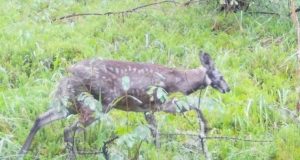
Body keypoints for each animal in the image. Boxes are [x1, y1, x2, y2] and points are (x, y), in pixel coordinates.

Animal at [19, 50, 230, 158]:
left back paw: (21, 152)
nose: (227, 89)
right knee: (68, 130)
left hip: (71, 101)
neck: (179, 81)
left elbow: (155, 131)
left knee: (41, 118)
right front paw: (206, 129)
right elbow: (194, 106)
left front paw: (157, 151)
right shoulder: (157, 101)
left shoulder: (147, 108)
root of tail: (69, 72)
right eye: (221, 76)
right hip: (102, 102)